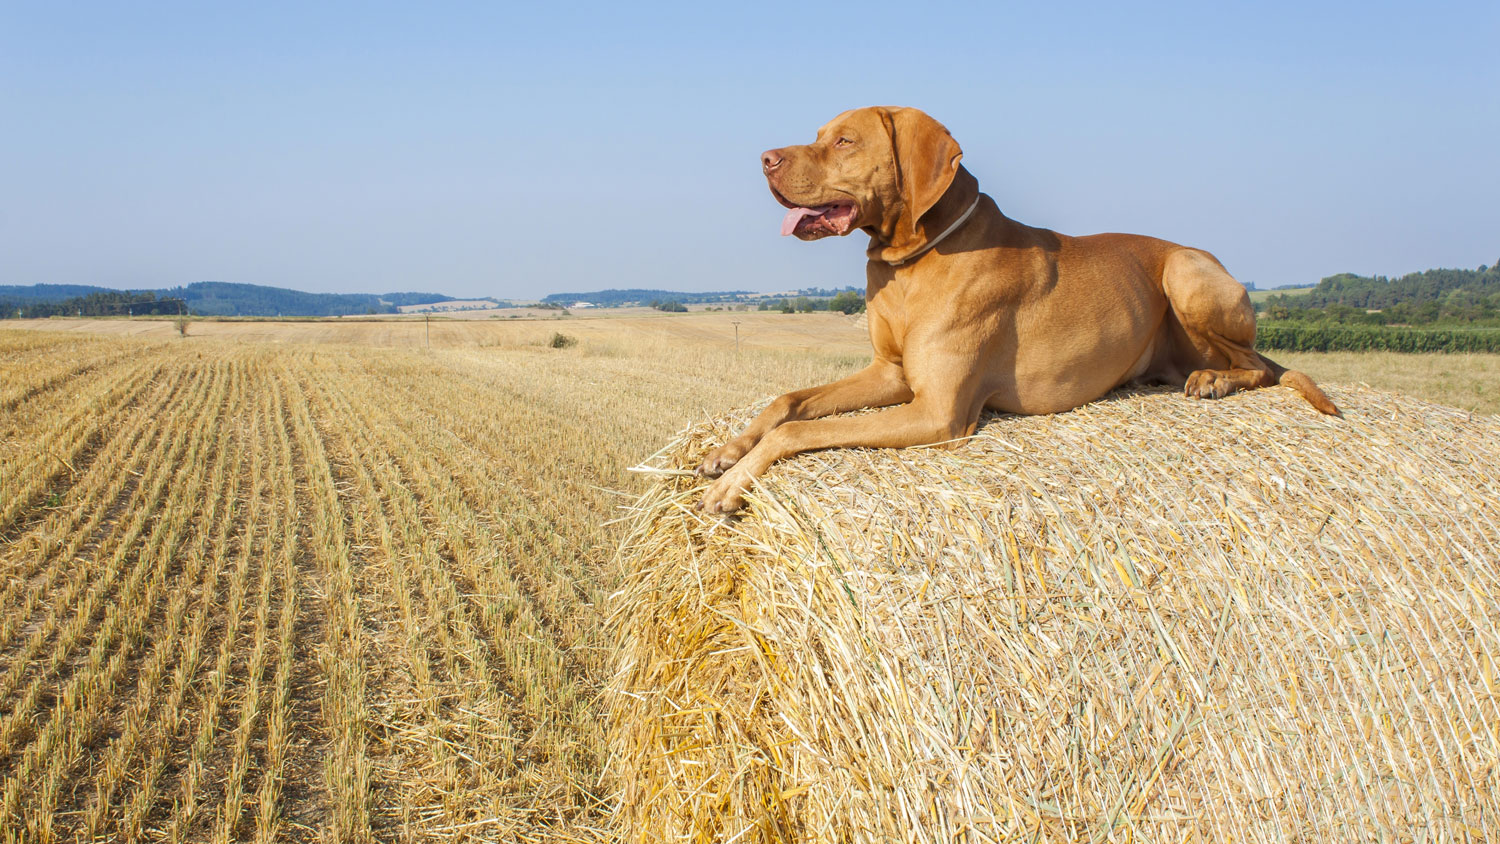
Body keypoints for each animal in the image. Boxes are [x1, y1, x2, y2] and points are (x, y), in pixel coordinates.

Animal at [696, 105, 1344, 515]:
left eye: (844, 141)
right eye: (820, 135)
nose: (764, 158)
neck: (912, 261)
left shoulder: (937, 412)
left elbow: (801, 429)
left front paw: (736, 482)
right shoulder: (891, 375)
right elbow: (787, 402)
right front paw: (728, 450)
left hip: (1186, 272)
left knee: (1257, 365)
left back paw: (1214, 379)